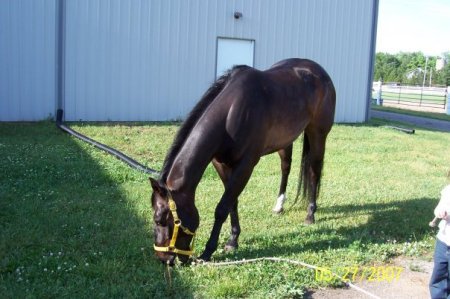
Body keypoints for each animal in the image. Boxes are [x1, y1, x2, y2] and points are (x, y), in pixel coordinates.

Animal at [150, 58, 334, 264]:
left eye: (160, 220)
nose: (163, 259)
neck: (231, 113)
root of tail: (318, 71)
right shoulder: (221, 165)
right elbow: (232, 203)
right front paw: (233, 240)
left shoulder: (245, 166)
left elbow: (222, 207)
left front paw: (208, 251)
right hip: (285, 141)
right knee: (286, 167)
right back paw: (279, 205)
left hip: (317, 134)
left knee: (314, 171)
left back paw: (310, 214)